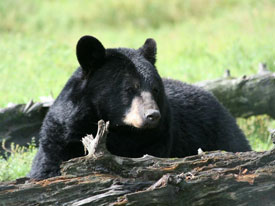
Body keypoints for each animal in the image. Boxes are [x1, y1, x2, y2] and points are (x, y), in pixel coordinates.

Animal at [29, 36, 252, 179]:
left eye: (155, 89)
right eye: (129, 88)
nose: (152, 115)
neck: (120, 131)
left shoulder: (157, 139)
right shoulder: (62, 134)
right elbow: (47, 167)